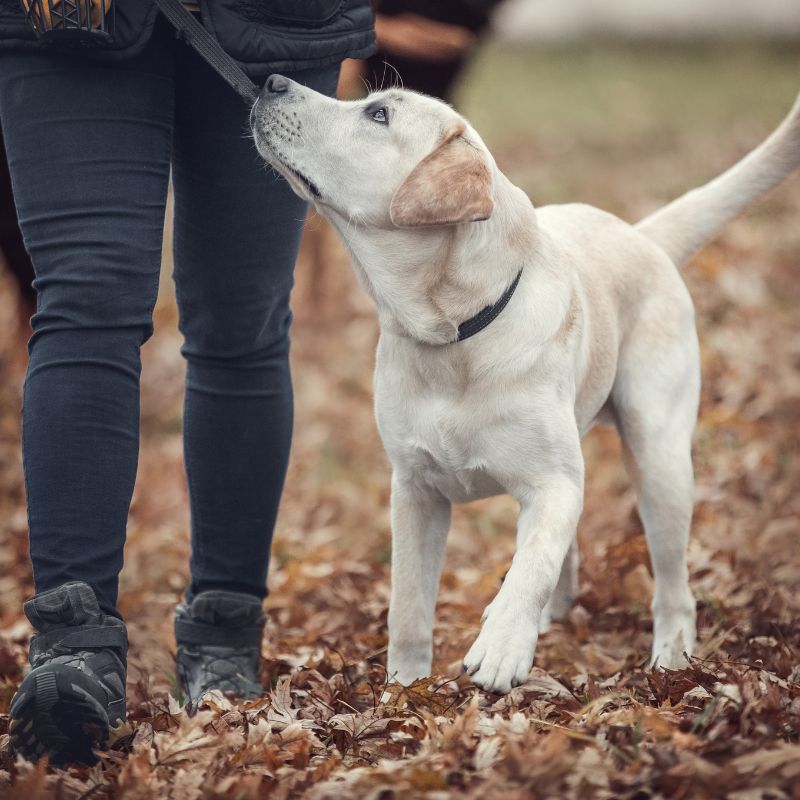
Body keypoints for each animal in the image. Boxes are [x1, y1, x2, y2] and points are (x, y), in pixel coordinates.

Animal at [253, 76, 800, 692]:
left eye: (378, 115)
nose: (272, 81)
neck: (456, 336)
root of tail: (641, 236)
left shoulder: (552, 483)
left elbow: (531, 564)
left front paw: (501, 646)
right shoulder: (414, 490)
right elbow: (409, 605)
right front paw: (405, 689)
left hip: (659, 456)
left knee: (670, 582)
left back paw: (672, 659)